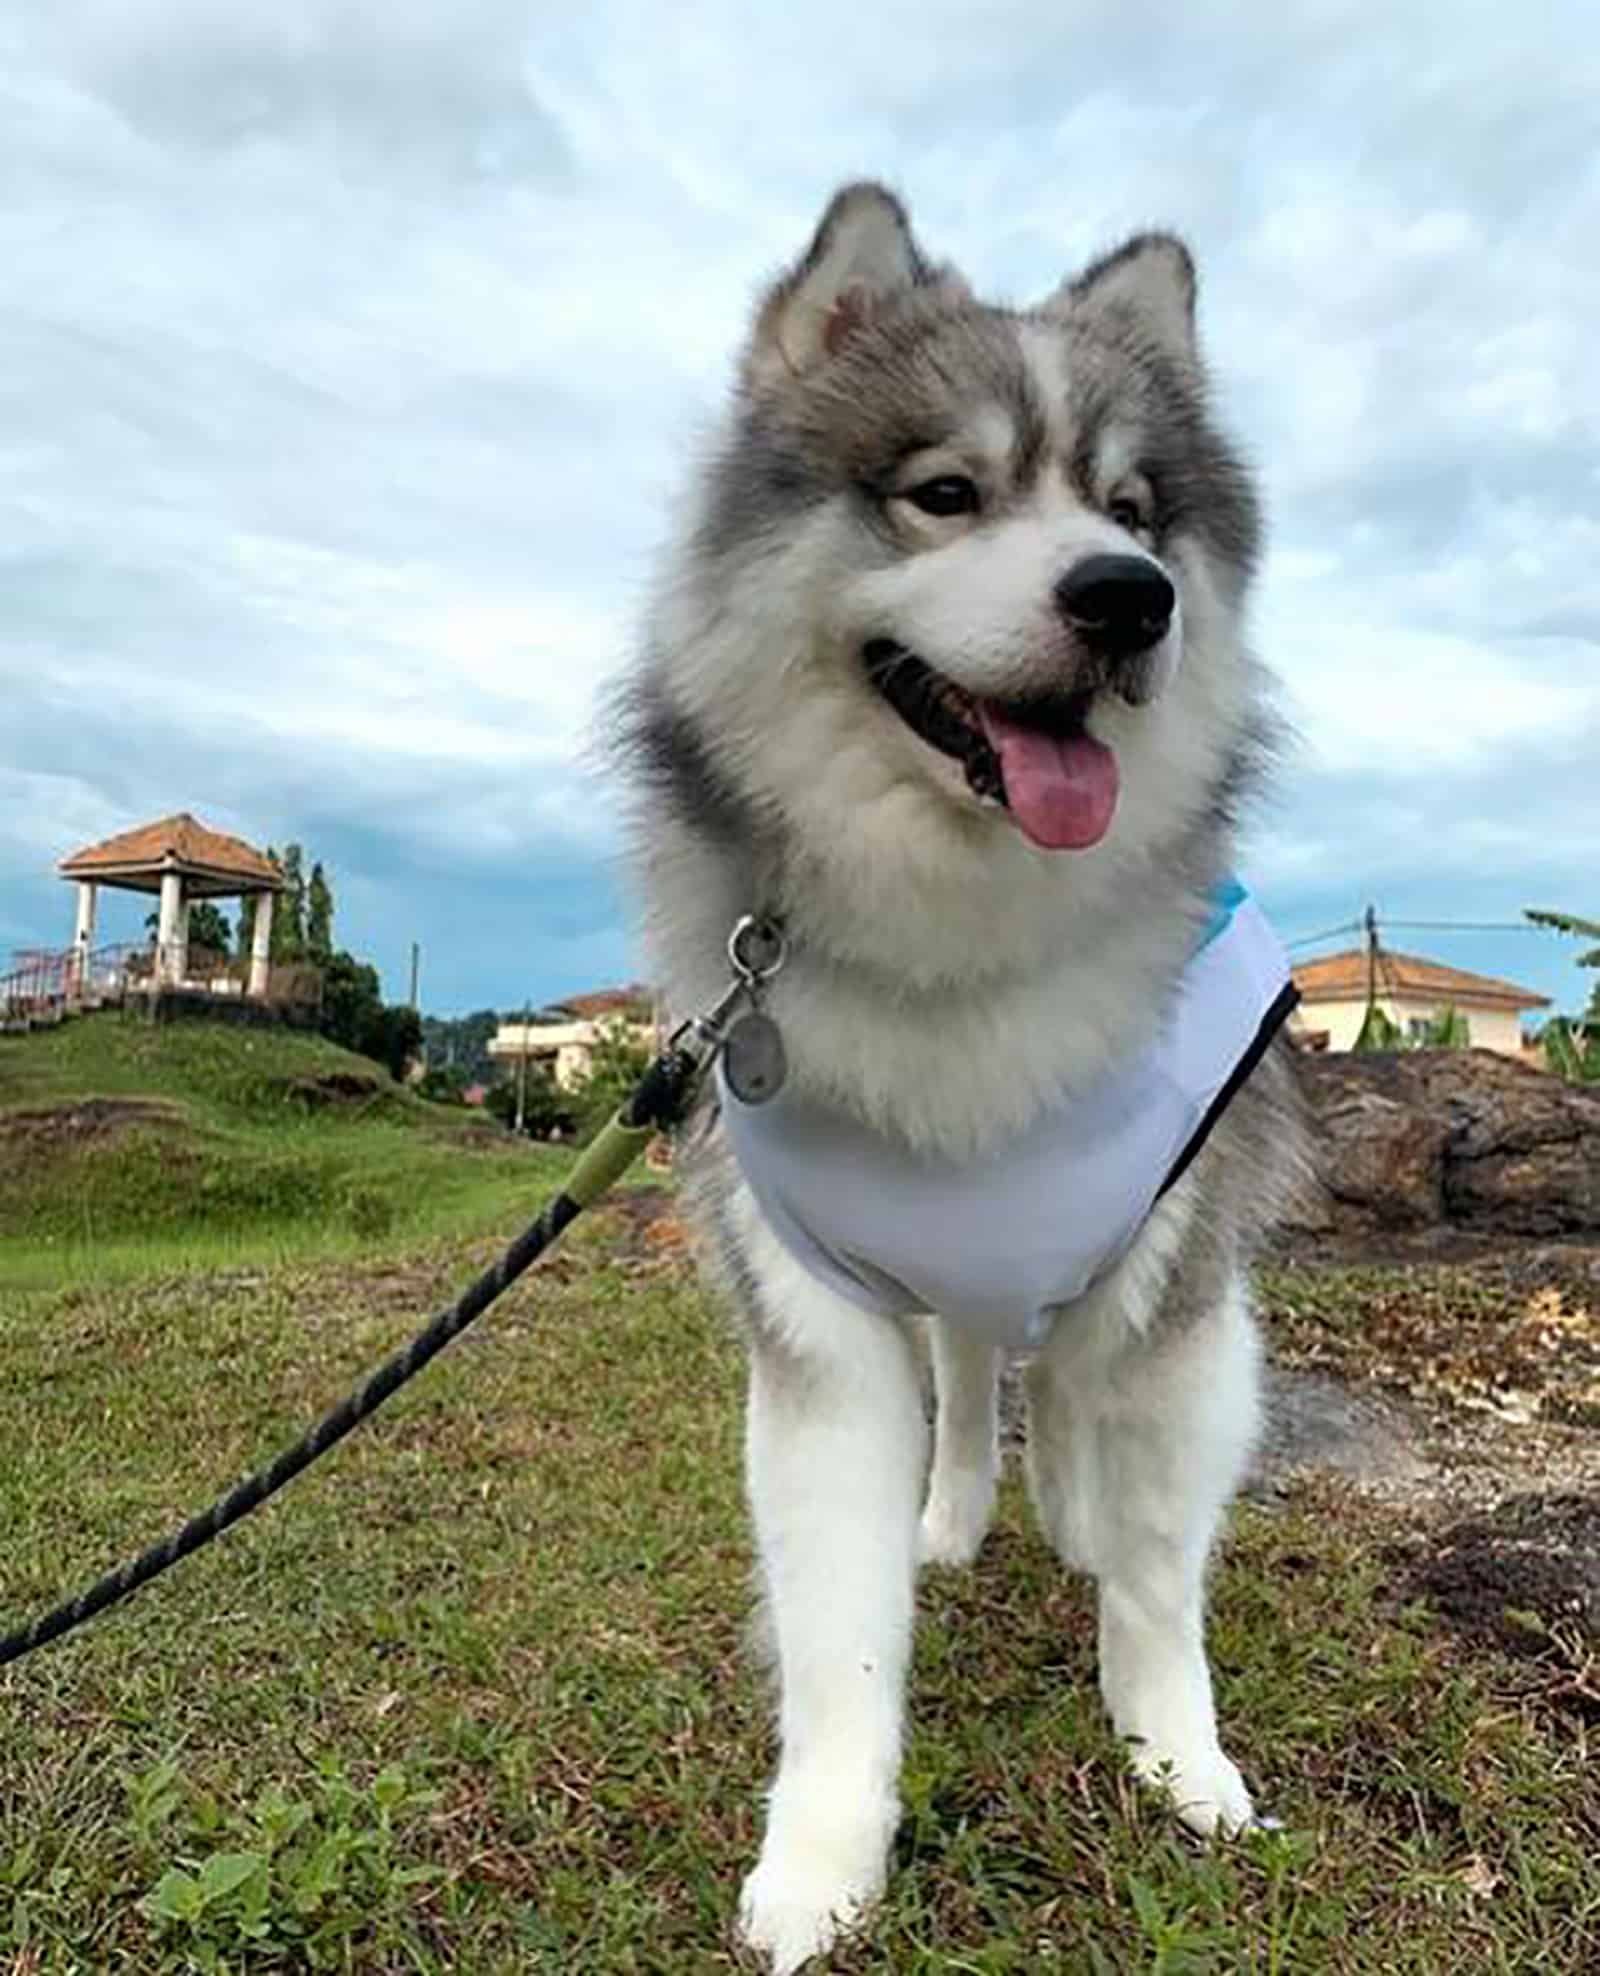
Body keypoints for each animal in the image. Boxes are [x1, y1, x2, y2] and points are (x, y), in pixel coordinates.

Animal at [608, 185, 1295, 1976]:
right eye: (945, 495)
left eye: (1134, 511)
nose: (1130, 599)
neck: (971, 938)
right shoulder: (823, 1329)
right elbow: (840, 1634)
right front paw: (823, 1863)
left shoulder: (1181, 1291)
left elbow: (1158, 1578)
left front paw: (1176, 1762)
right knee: (981, 1372)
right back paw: (966, 1508)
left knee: (1060, 1392)